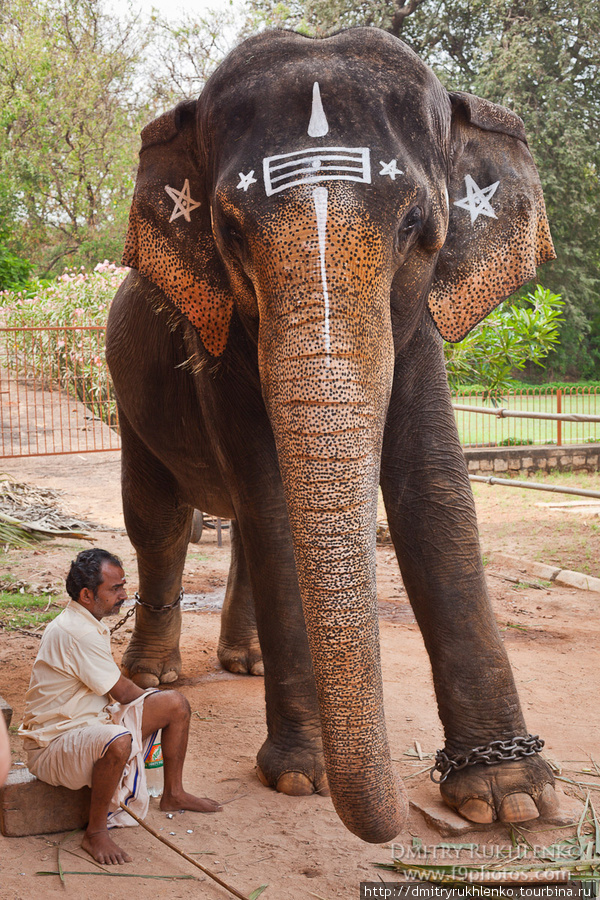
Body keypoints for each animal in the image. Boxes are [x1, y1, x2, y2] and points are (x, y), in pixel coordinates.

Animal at [106, 28, 556, 844]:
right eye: (229, 231)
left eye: (416, 229)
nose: (398, 821)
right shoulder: (223, 350)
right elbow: (272, 496)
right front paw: (299, 777)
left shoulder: (419, 329)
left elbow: (435, 493)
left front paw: (508, 798)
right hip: (129, 391)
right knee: (158, 518)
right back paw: (154, 677)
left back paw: (244, 662)